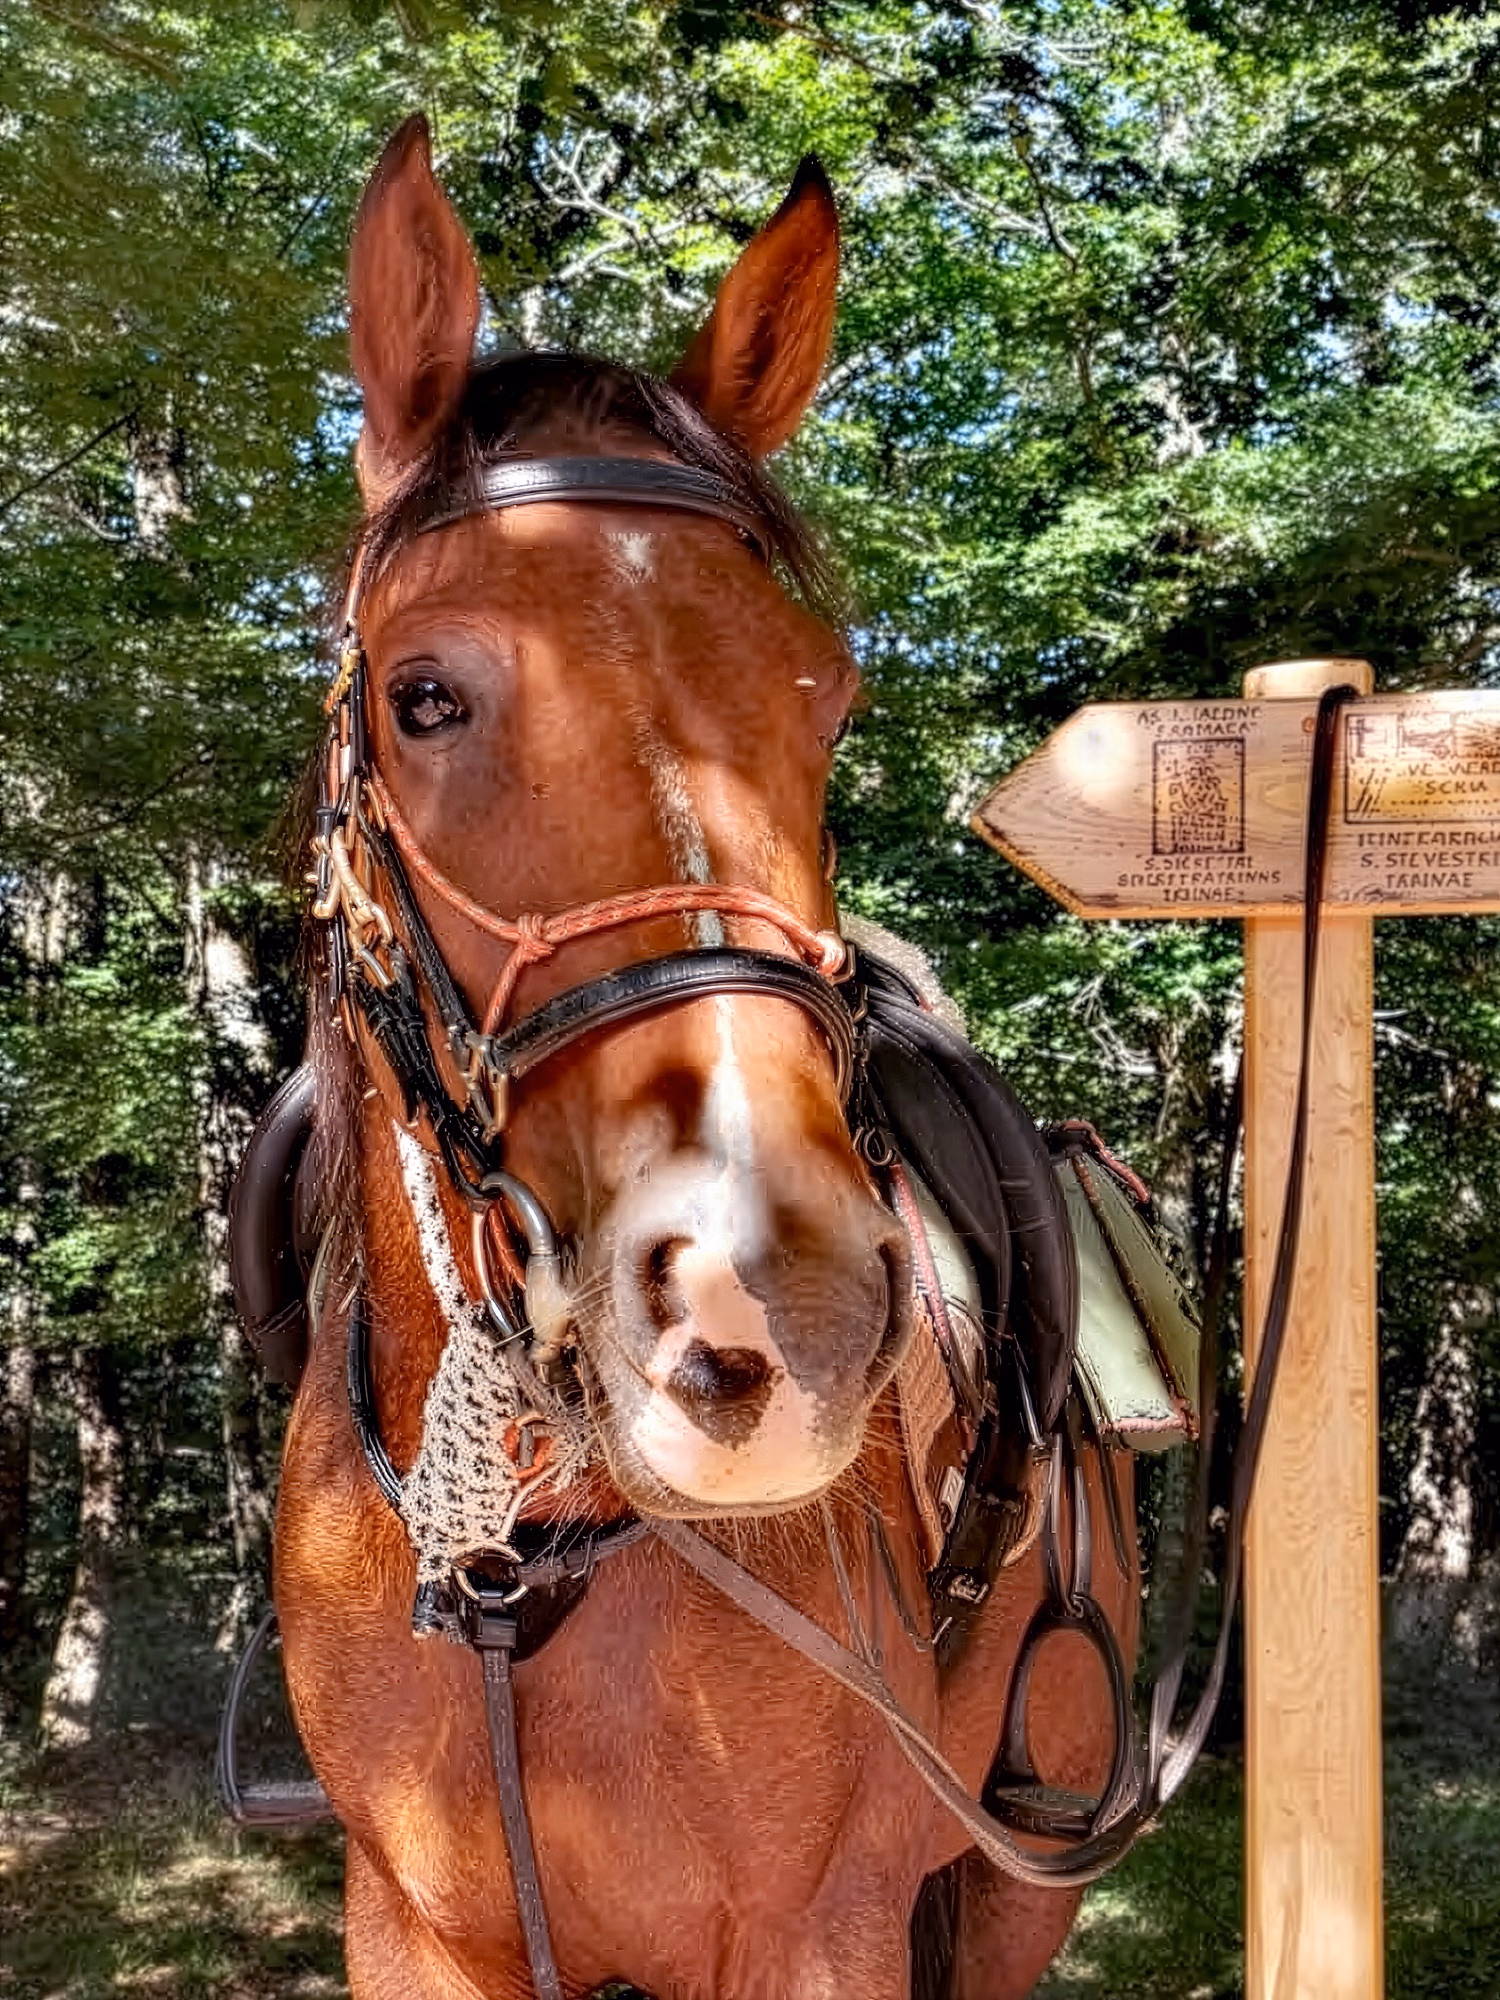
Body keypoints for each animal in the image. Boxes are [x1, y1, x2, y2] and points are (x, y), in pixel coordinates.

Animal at [270, 115, 1138, 2000]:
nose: (776, 1309)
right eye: (424, 697)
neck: (521, 1571)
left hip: (1020, 1880)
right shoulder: (407, 1920)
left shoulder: (819, 1934)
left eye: (825, 698)